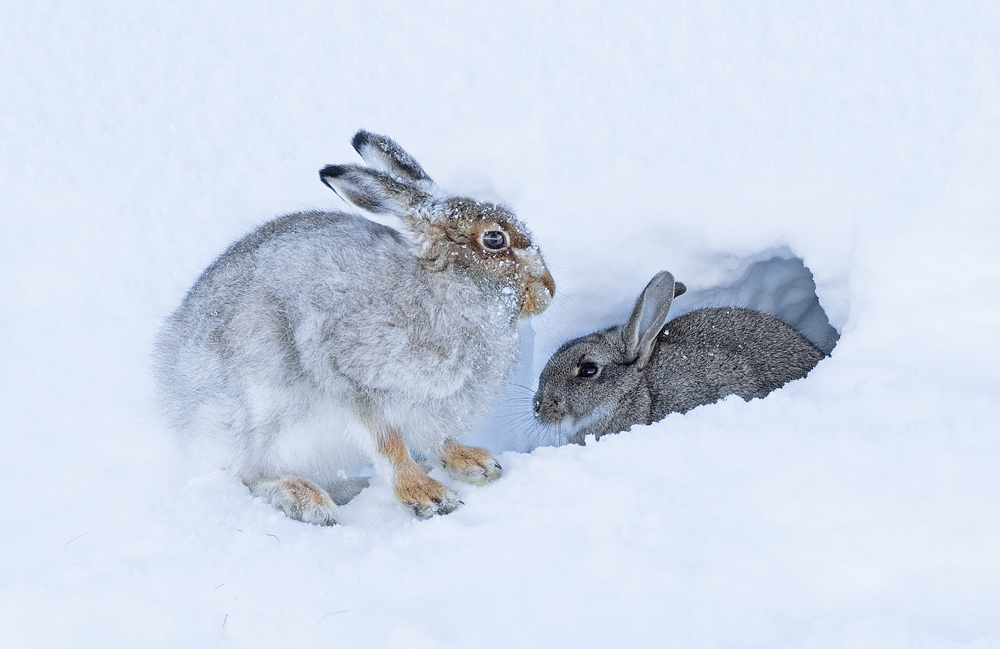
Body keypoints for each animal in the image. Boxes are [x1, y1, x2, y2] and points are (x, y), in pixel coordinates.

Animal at [153, 130, 555, 525]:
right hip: (259, 409)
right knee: (246, 476)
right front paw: (426, 496)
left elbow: (436, 438)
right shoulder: (348, 377)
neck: (446, 285)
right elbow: (387, 443)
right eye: (494, 239)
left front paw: (473, 463)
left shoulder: (427, 410)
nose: (548, 289)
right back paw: (306, 499)